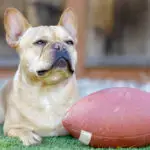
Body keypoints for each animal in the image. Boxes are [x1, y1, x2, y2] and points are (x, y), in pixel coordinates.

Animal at [0, 6, 79, 145]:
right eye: (40, 42)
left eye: (70, 42)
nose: (60, 46)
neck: (49, 91)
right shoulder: (10, 127)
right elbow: (20, 129)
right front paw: (28, 135)